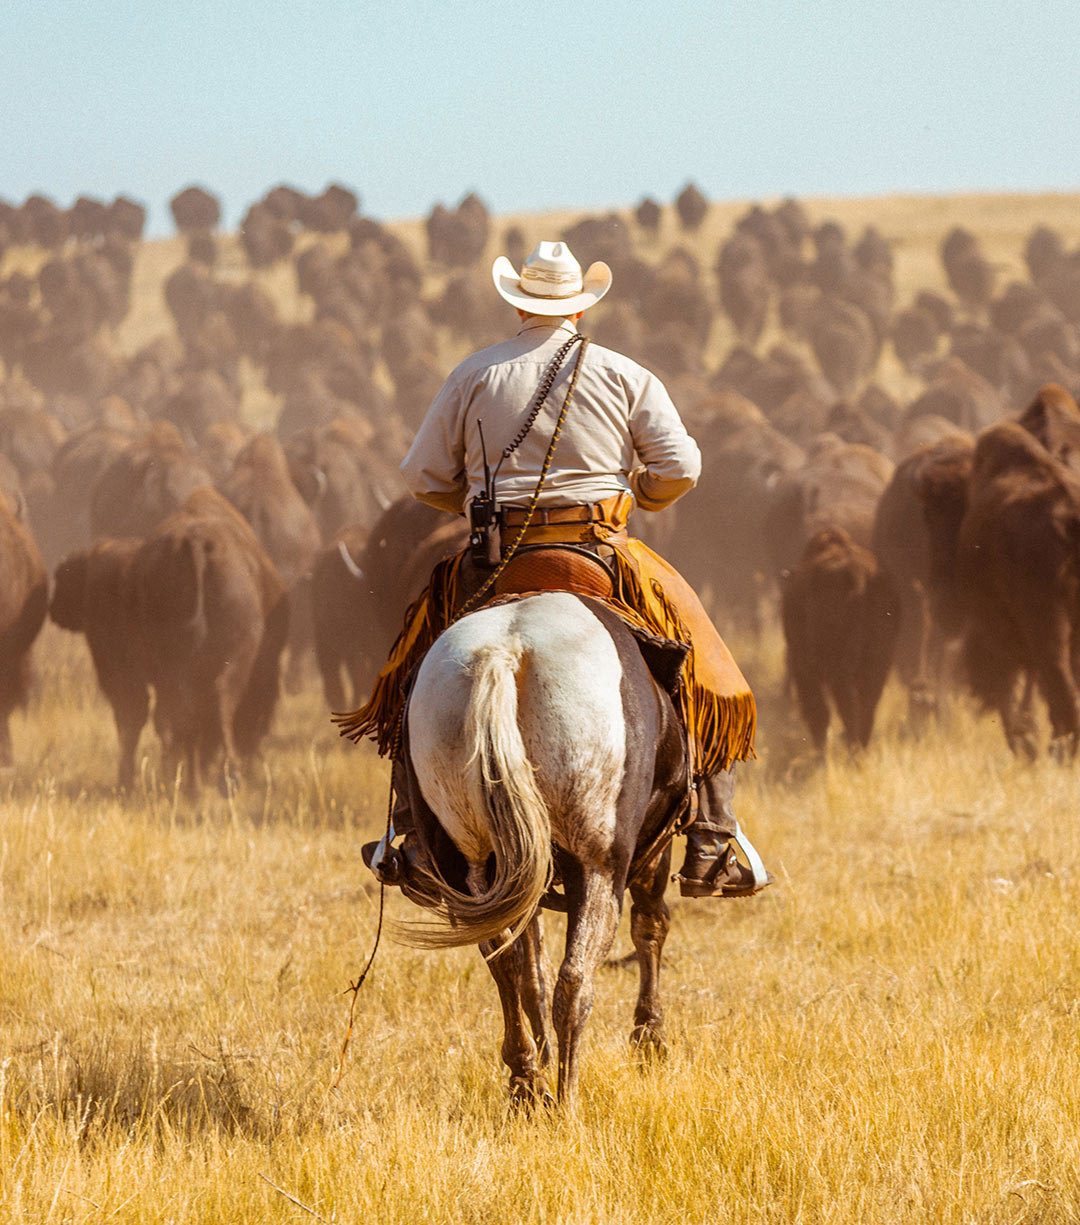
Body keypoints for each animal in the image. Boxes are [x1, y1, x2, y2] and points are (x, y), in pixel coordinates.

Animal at [391, 588, 685, 1107]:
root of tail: (503, 654)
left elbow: (530, 971)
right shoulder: (650, 849)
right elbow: (650, 927)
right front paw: (650, 1038)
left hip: (474, 865)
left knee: (505, 963)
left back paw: (527, 1081)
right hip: (598, 862)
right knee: (576, 979)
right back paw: (566, 1100)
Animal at [778, 524, 896, 749]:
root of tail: (857, 574)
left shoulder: (803, 667)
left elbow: (818, 711)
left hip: (835, 668)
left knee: (845, 707)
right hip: (877, 664)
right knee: (866, 707)